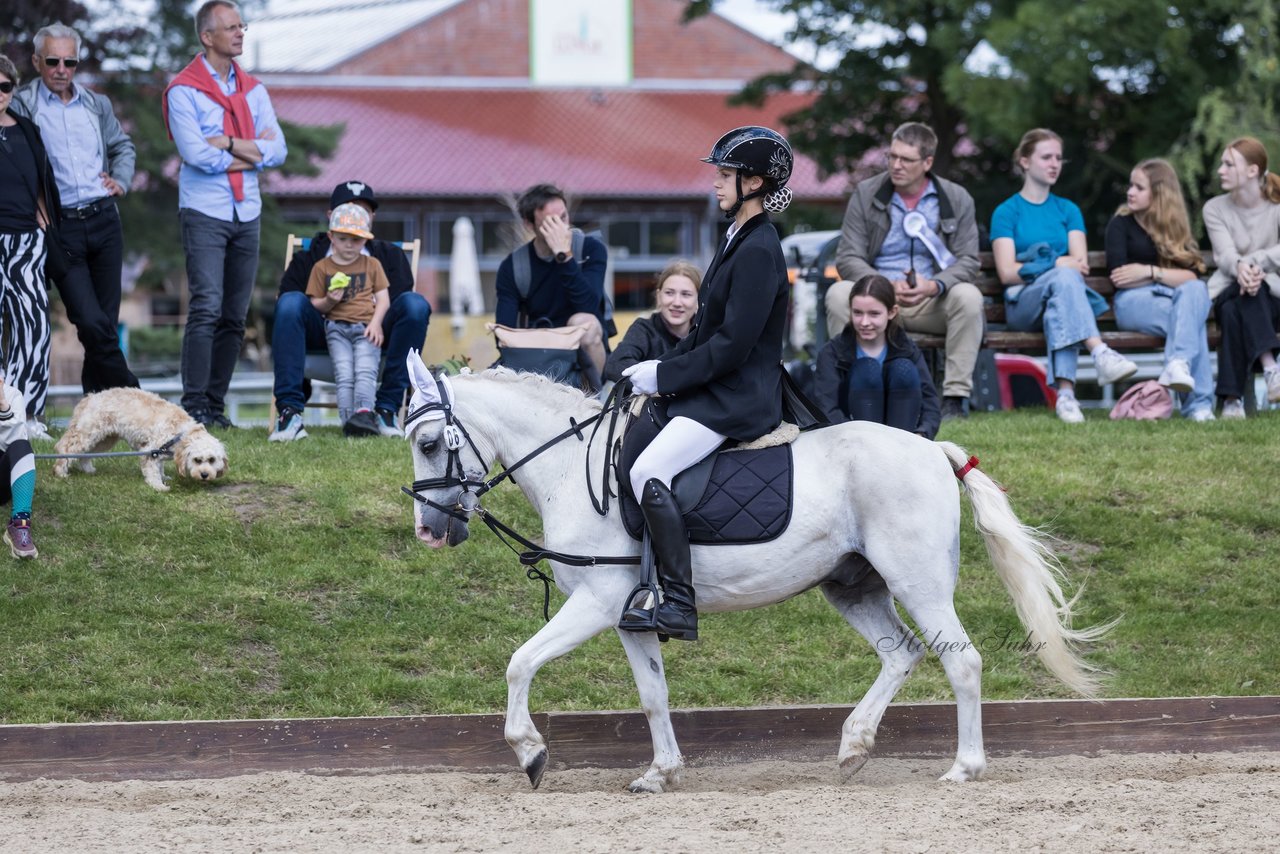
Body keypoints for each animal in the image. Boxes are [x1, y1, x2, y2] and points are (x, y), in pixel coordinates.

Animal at [404, 355, 1105, 793]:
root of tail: (933, 448)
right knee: (901, 653)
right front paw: (661, 773)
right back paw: (853, 749)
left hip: (919, 582)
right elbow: (653, 695)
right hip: (853, 586)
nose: (431, 530)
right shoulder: (630, 617)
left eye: (431, 443)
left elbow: (519, 662)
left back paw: (964, 768)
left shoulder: (597, 605)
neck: (574, 470)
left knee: (961, 660)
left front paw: (530, 751)